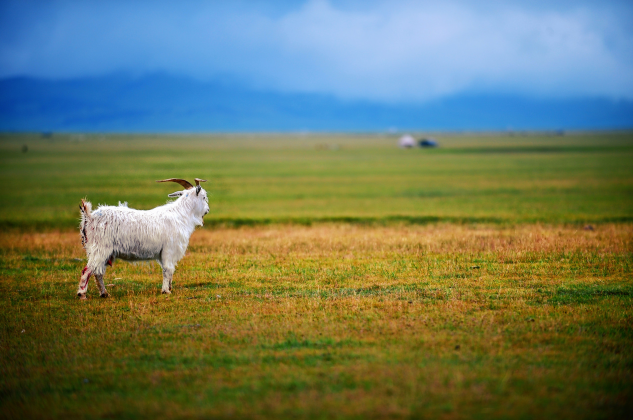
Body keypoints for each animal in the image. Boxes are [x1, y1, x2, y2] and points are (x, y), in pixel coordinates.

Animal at [76, 177, 209, 298]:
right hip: (100, 248)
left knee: (97, 272)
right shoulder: (169, 250)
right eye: (203, 197)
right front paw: (166, 291)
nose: (207, 210)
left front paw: (169, 287)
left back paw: (104, 293)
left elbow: (169, 270)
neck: (181, 214)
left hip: (102, 252)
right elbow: (168, 269)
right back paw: (82, 294)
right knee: (87, 270)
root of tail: (89, 217)